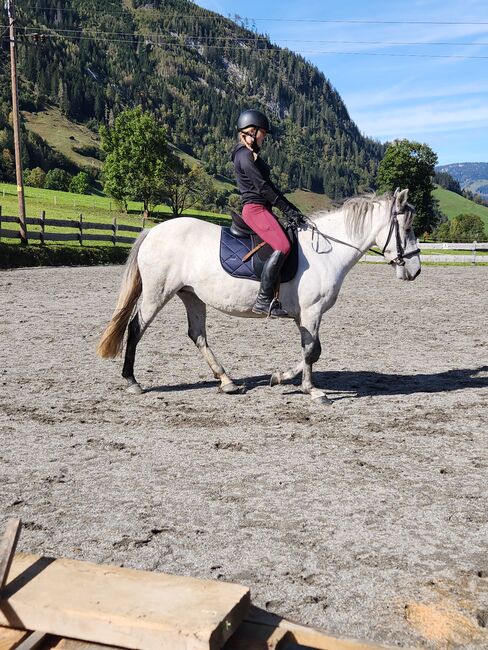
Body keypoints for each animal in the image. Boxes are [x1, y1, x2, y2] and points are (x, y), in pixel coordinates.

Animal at [98, 186, 420, 400]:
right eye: (406, 227)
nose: (415, 270)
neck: (327, 251)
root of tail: (153, 231)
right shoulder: (312, 310)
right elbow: (312, 350)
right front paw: (312, 390)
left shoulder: (304, 315)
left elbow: (311, 349)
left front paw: (280, 377)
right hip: (158, 292)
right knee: (136, 327)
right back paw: (132, 381)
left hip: (191, 295)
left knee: (197, 335)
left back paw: (227, 381)